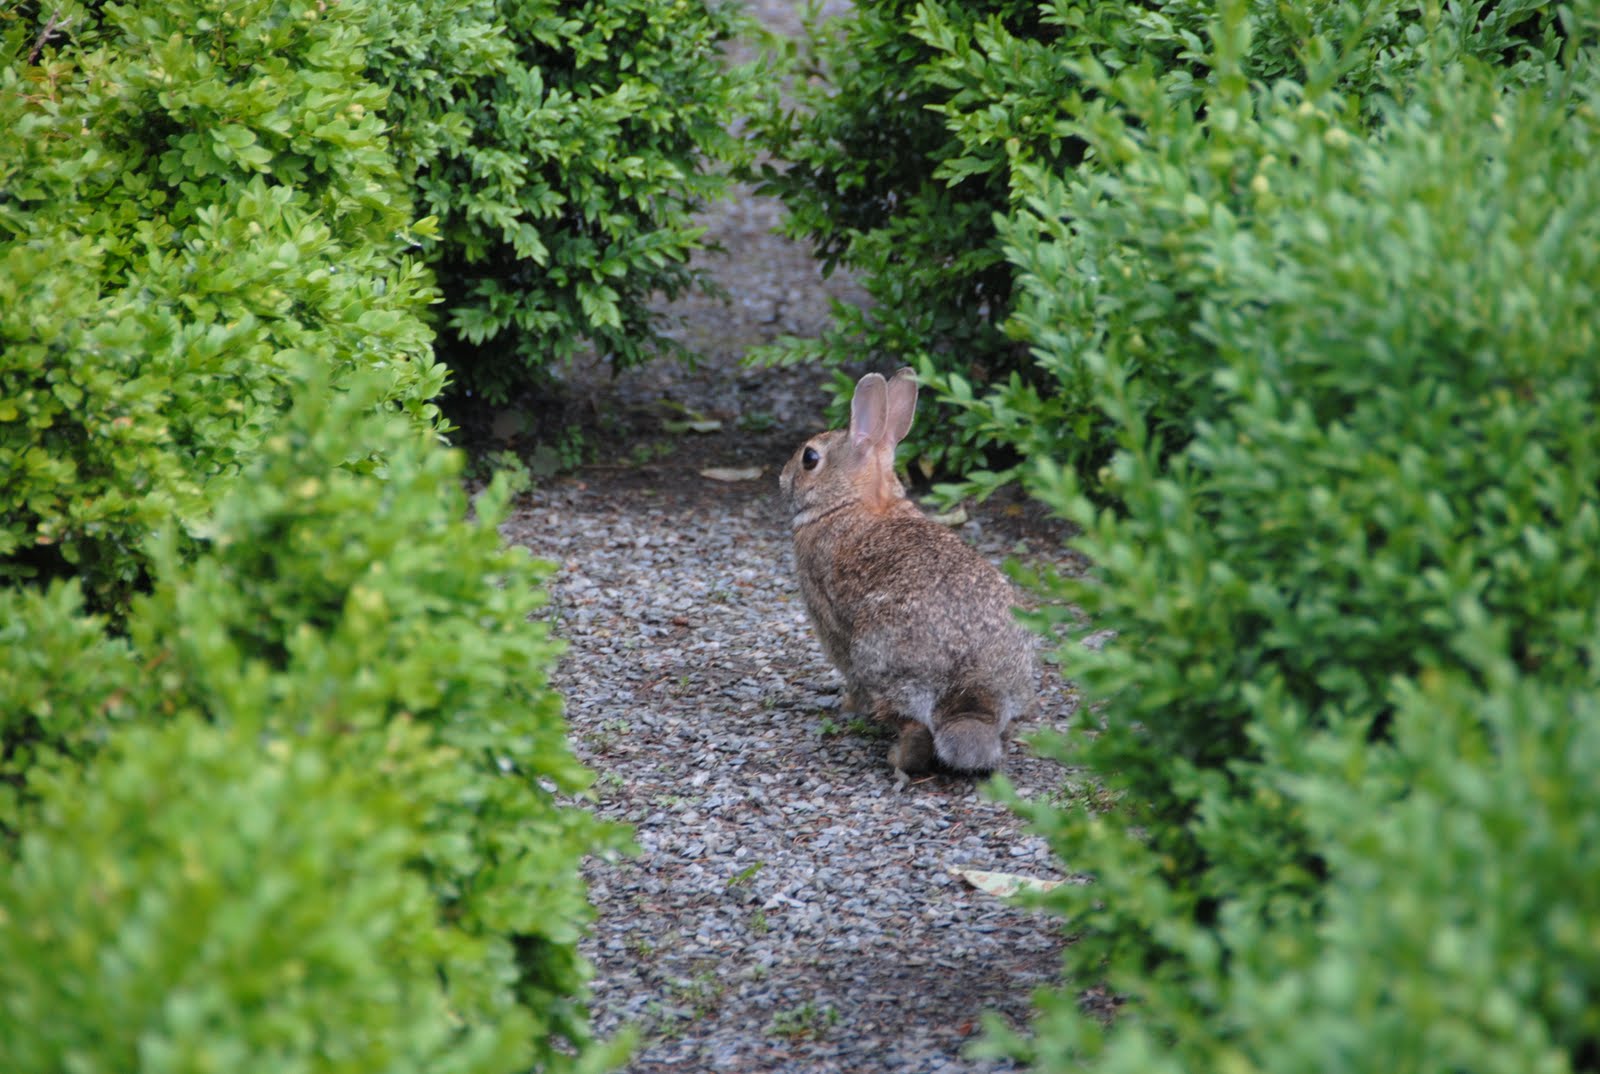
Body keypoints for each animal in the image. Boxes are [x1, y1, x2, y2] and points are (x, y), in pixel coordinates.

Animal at [779, 367, 1036, 780]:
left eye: (810, 458)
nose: (782, 479)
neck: (851, 503)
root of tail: (971, 684)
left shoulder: (828, 620)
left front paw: (846, 707)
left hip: (882, 662)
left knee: (912, 727)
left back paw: (896, 759)